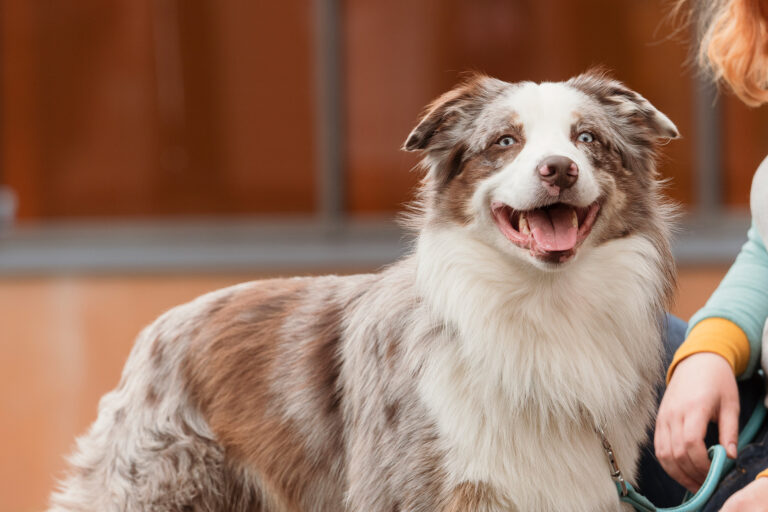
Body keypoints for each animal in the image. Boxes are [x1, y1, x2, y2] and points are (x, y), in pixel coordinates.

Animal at [49, 71, 680, 512]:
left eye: (587, 138)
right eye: (505, 141)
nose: (558, 169)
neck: (541, 305)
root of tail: (162, 326)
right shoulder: (417, 489)